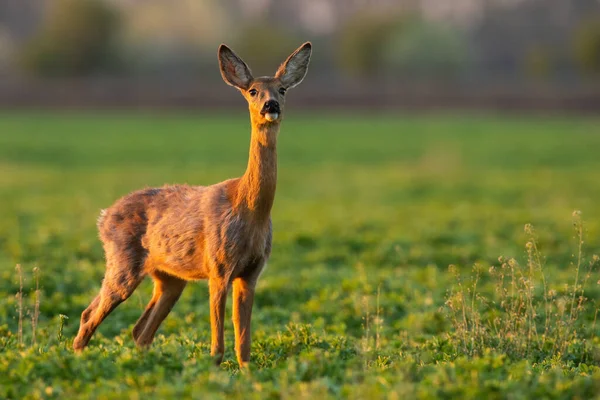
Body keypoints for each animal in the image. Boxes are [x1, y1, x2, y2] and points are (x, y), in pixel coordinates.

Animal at [72, 42, 312, 368]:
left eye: (282, 89)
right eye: (252, 91)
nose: (270, 105)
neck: (249, 210)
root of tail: (104, 217)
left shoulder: (251, 272)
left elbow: (244, 344)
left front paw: (249, 374)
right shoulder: (218, 267)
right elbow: (217, 344)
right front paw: (212, 371)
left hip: (170, 279)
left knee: (139, 330)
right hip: (122, 262)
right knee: (89, 316)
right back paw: (77, 361)